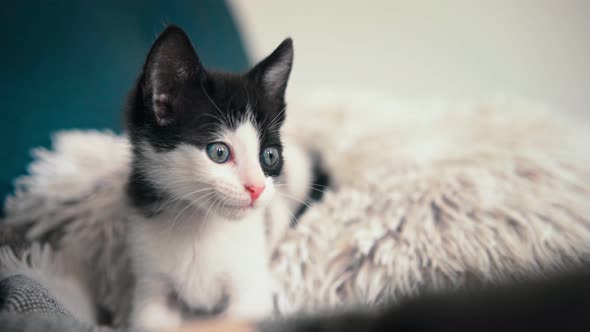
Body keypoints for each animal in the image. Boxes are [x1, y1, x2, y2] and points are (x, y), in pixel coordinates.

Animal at [126, 25, 298, 330]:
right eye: (218, 152)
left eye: (269, 156)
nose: (256, 188)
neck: (199, 224)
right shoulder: (150, 284)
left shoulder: (251, 289)